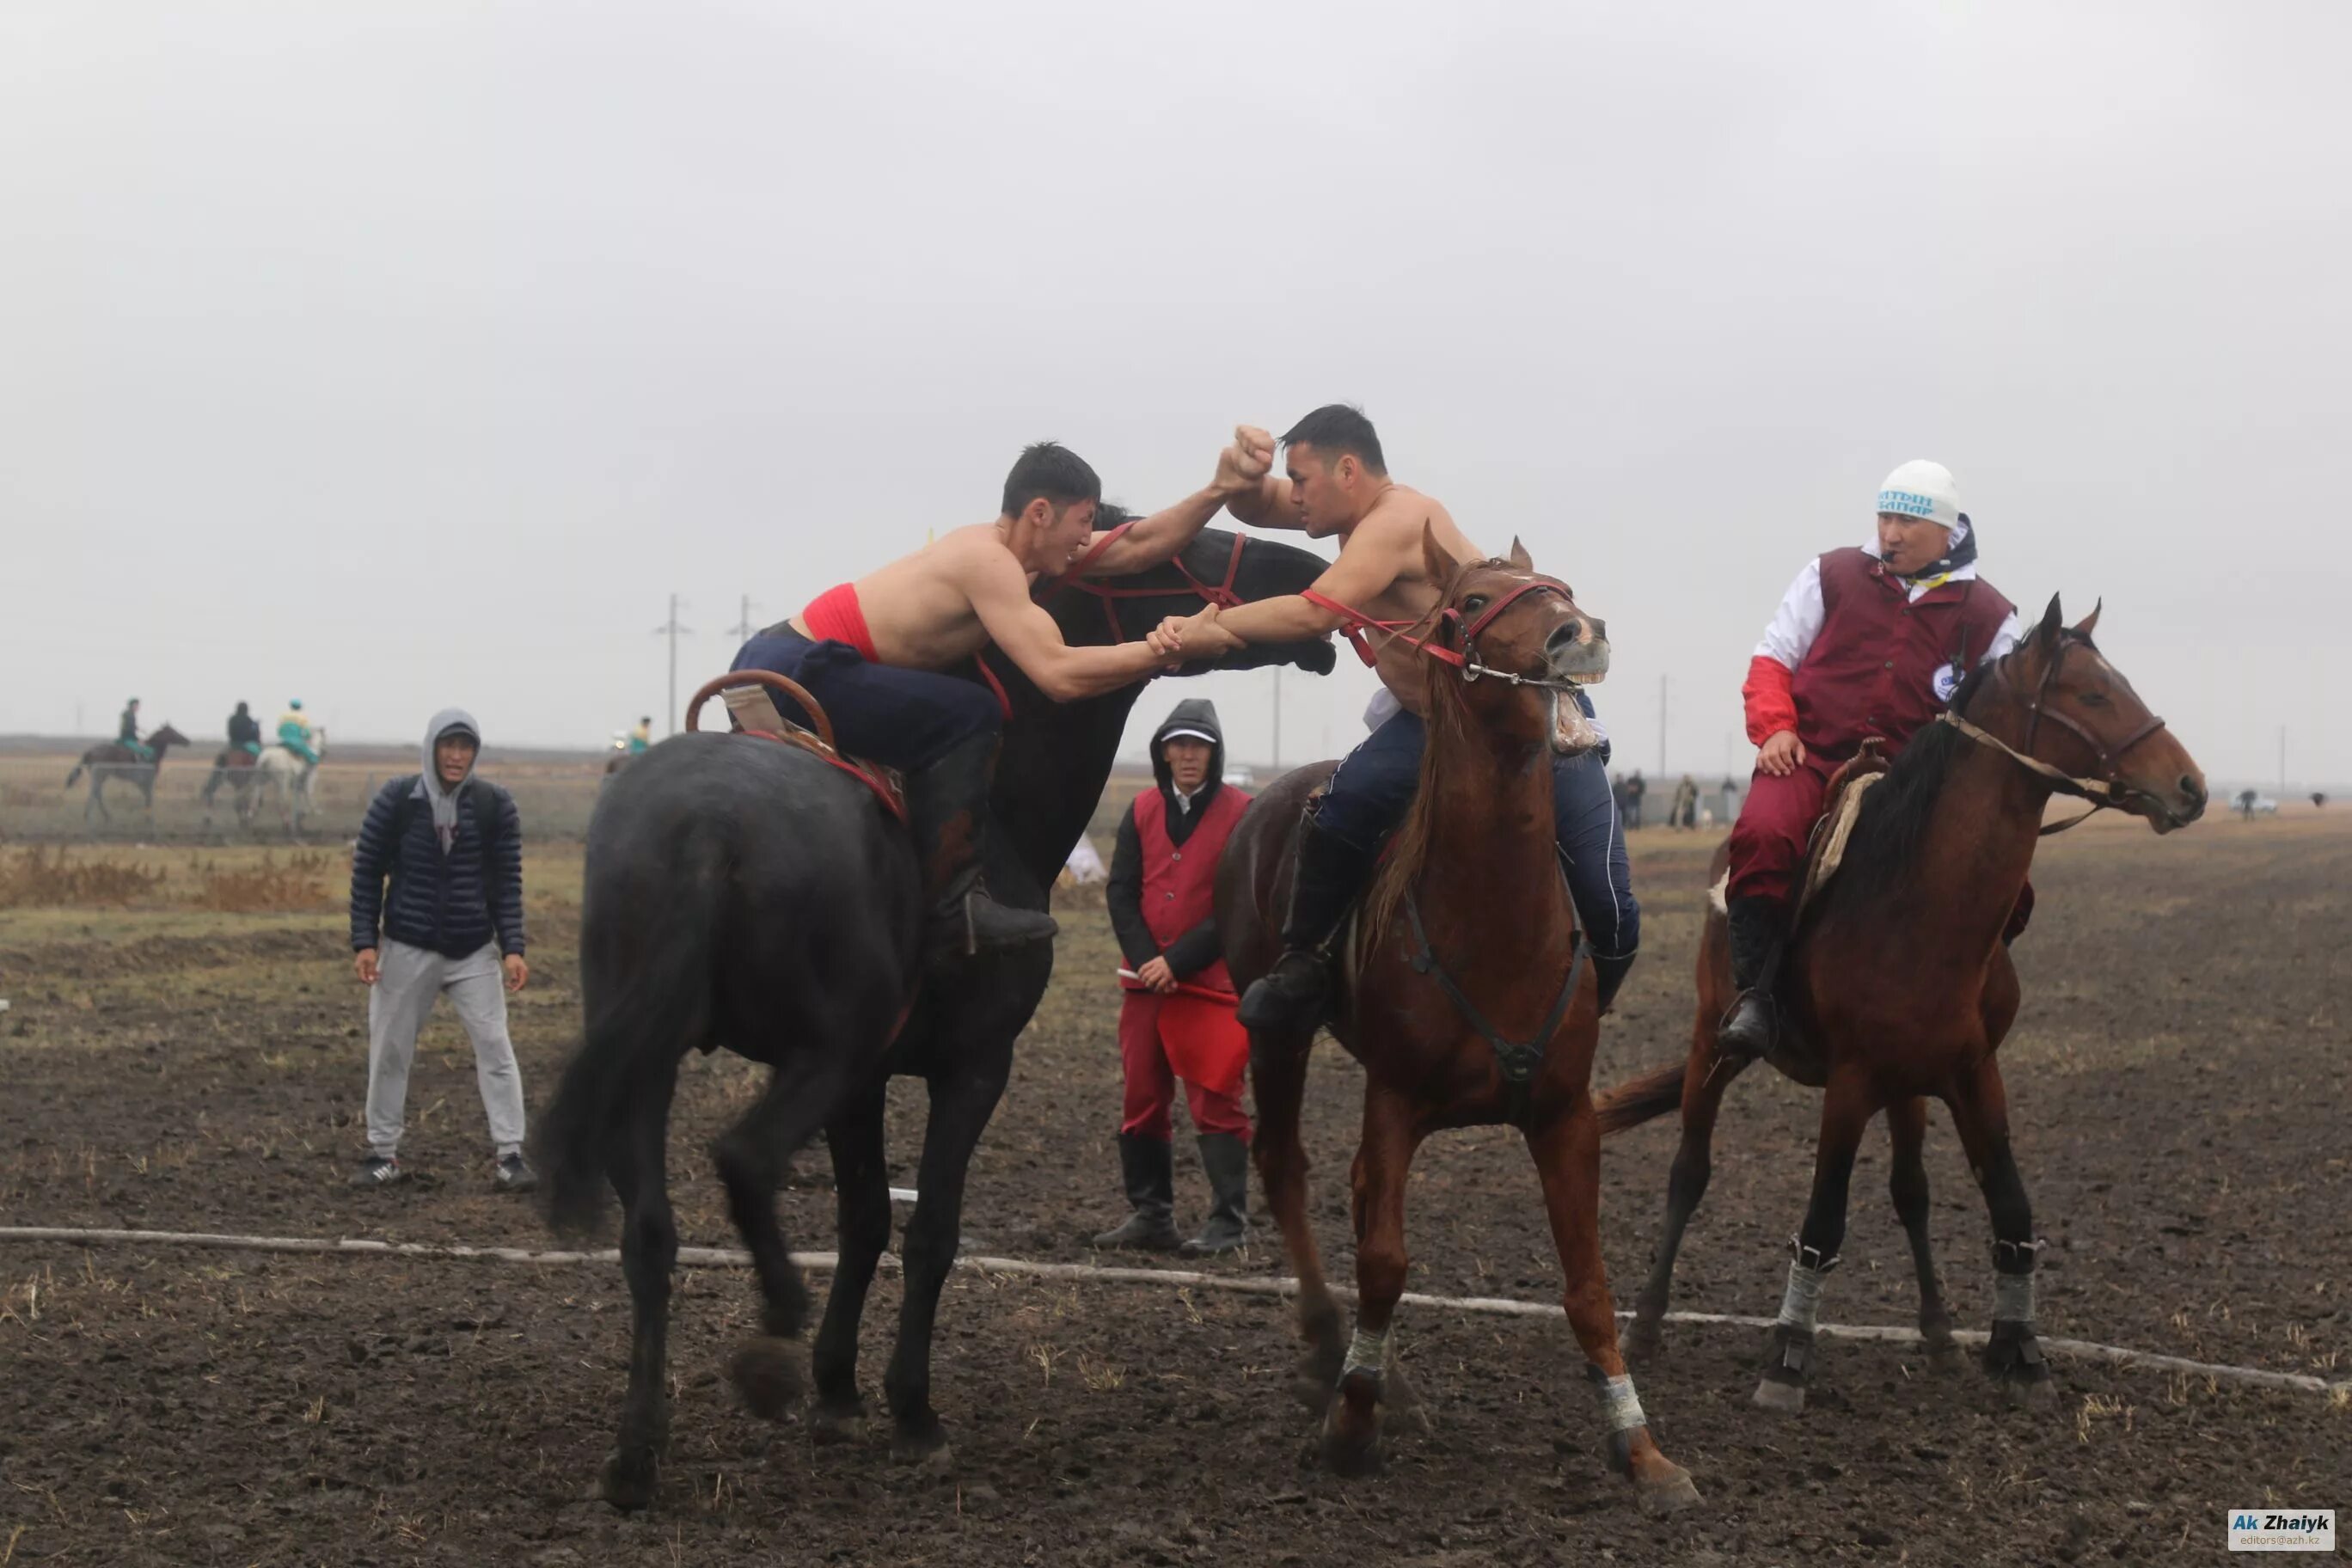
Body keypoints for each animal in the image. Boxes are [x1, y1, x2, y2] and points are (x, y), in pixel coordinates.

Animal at [64, 719, 190, 823]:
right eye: (173, 731)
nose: (187, 741)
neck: (151, 752)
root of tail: (90, 752)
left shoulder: (143, 782)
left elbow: (147, 796)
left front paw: (148, 817)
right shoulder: (145, 780)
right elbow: (148, 797)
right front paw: (149, 818)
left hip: (100, 777)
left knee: (97, 793)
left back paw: (103, 815)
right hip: (100, 775)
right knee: (95, 793)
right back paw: (95, 815)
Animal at [256, 728, 329, 841]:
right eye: (324, 738)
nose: (325, 752)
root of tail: (266, 757)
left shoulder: (299, 786)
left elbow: (300, 801)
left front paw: (300, 819)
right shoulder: (309, 782)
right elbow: (308, 799)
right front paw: (314, 812)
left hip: (262, 780)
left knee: (255, 798)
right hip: (282, 782)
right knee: (280, 802)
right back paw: (286, 825)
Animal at [538, 531, 1344, 1504]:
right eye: (1204, 545)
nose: (1315, 584)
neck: (993, 813)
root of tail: (707, 821)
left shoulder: (863, 1087)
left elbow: (863, 1223)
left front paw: (838, 1389)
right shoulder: (970, 1068)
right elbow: (927, 1235)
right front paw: (907, 1409)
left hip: (652, 1064)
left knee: (651, 1235)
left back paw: (638, 1450)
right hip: (818, 1054)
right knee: (743, 1158)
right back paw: (772, 1333)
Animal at [1222, 533, 1702, 1514]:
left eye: (1558, 586)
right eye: (1473, 601)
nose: (1578, 634)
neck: (1496, 928)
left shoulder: (1564, 1117)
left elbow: (1588, 1285)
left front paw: (1641, 1449)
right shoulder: (1396, 1100)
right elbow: (1385, 1262)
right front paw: (1352, 1426)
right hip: (1276, 1034)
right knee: (1285, 1168)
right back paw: (1330, 1352)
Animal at [1599, 594, 2201, 1419]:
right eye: (2093, 695)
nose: (2190, 786)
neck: (1922, 904)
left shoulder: (1973, 1074)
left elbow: (2010, 1209)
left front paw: (2019, 1349)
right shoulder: (1850, 1085)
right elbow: (1823, 1220)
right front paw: (1787, 1357)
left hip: (1907, 1091)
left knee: (1911, 1192)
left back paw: (1940, 1332)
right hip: (1711, 1047)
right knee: (1689, 1171)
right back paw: (1649, 1323)